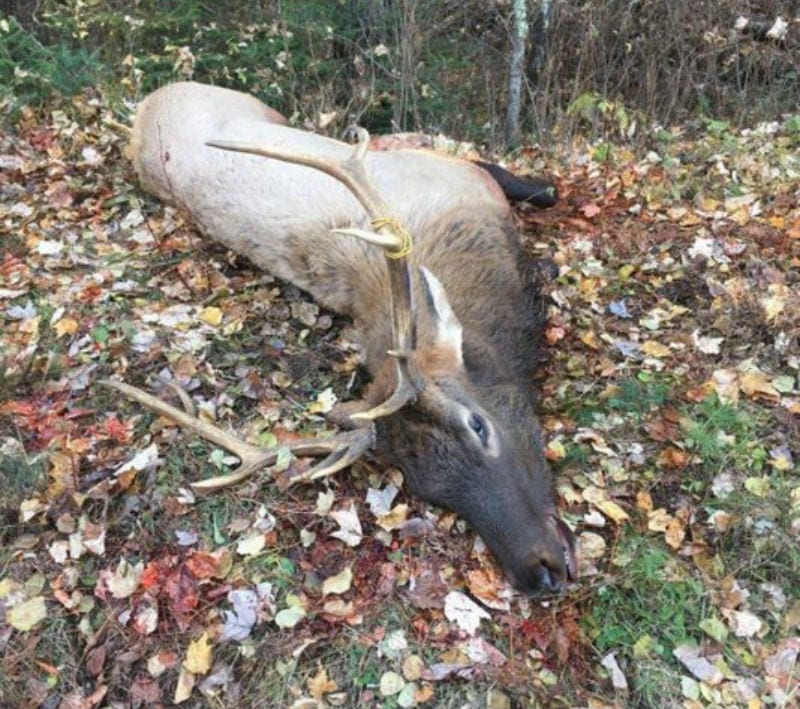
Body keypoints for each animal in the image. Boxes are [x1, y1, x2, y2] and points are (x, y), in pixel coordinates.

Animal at [105, 81, 577, 594]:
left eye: (478, 424)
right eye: (428, 486)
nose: (539, 572)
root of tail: (153, 99)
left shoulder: (459, 169)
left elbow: (541, 188)